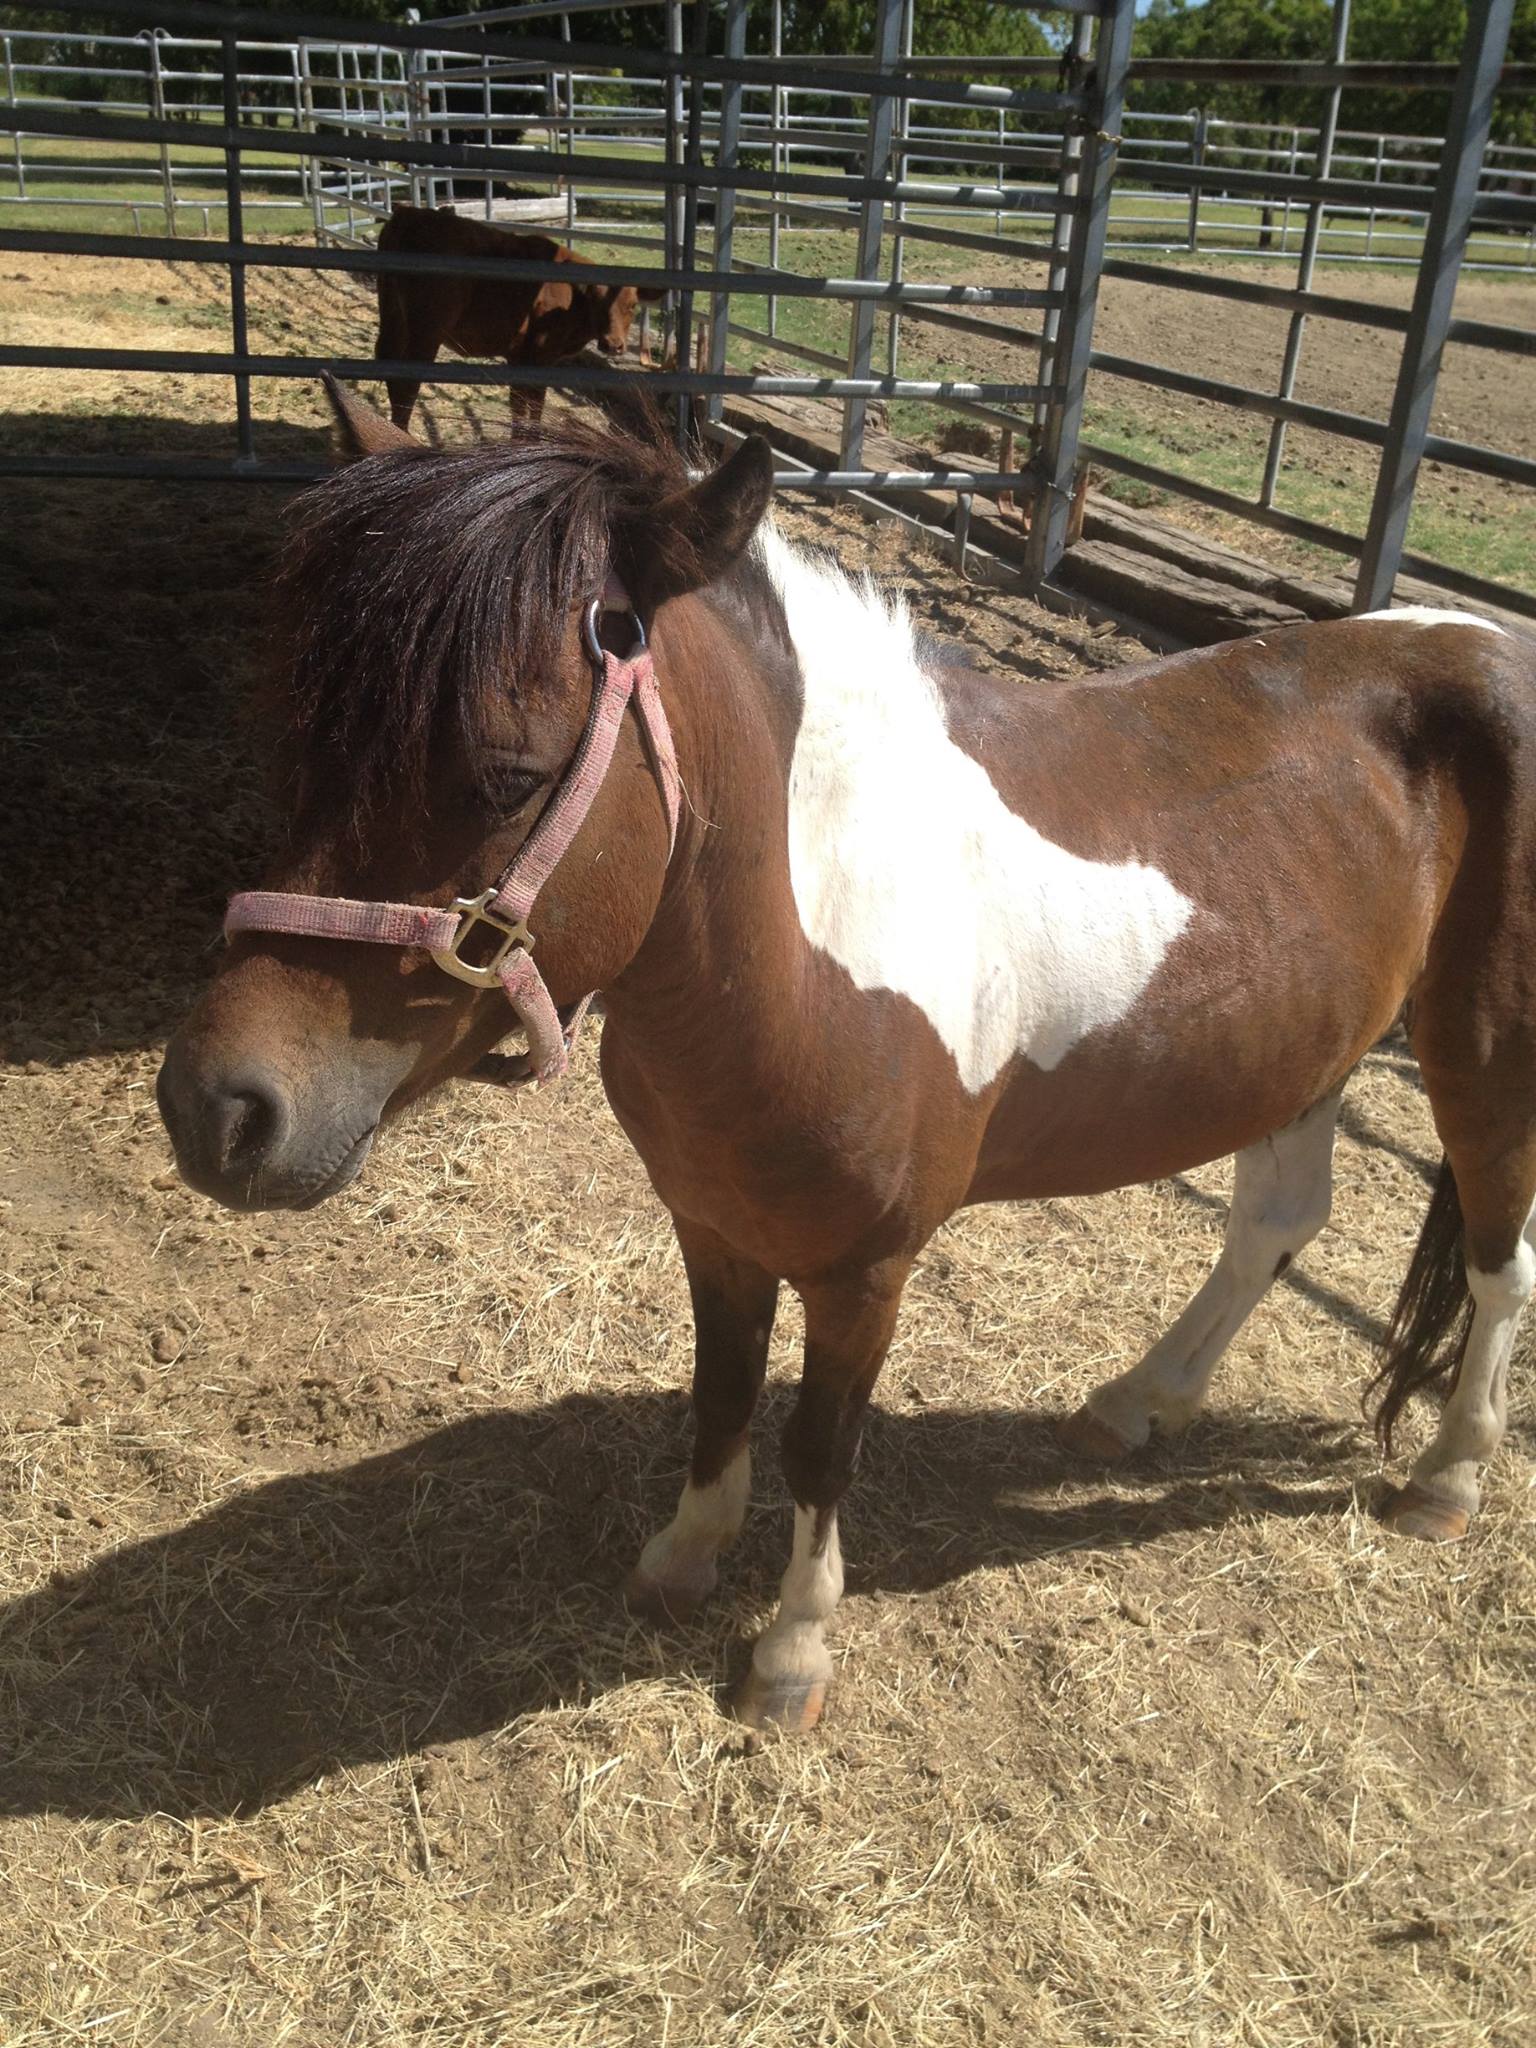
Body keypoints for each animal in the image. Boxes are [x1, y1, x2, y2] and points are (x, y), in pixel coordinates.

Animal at [157, 382, 1536, 1733]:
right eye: (306, 741)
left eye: (507, 772)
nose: (215, 1107)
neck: (811, 939)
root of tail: (1495, 646)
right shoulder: (713, 1224)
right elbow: (721, 1392)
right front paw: (682, 1560)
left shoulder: (867, 1268)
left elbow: (823, 1444)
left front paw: (789, 1656)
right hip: (1306, 1053)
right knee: (1276, 1220)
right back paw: (1141, 1400)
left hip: (1480, 1054)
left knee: (1495, 1259)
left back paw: (1446, 1478)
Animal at [374, 203, 665, 432]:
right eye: (596, 301)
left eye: (632, 305)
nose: (612, 344)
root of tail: (409, 214)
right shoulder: (541, 357)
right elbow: (534, 403)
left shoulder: (519, 356)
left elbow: (518, 404)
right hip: (426, 332)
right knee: (406, 384)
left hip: (393, 319)